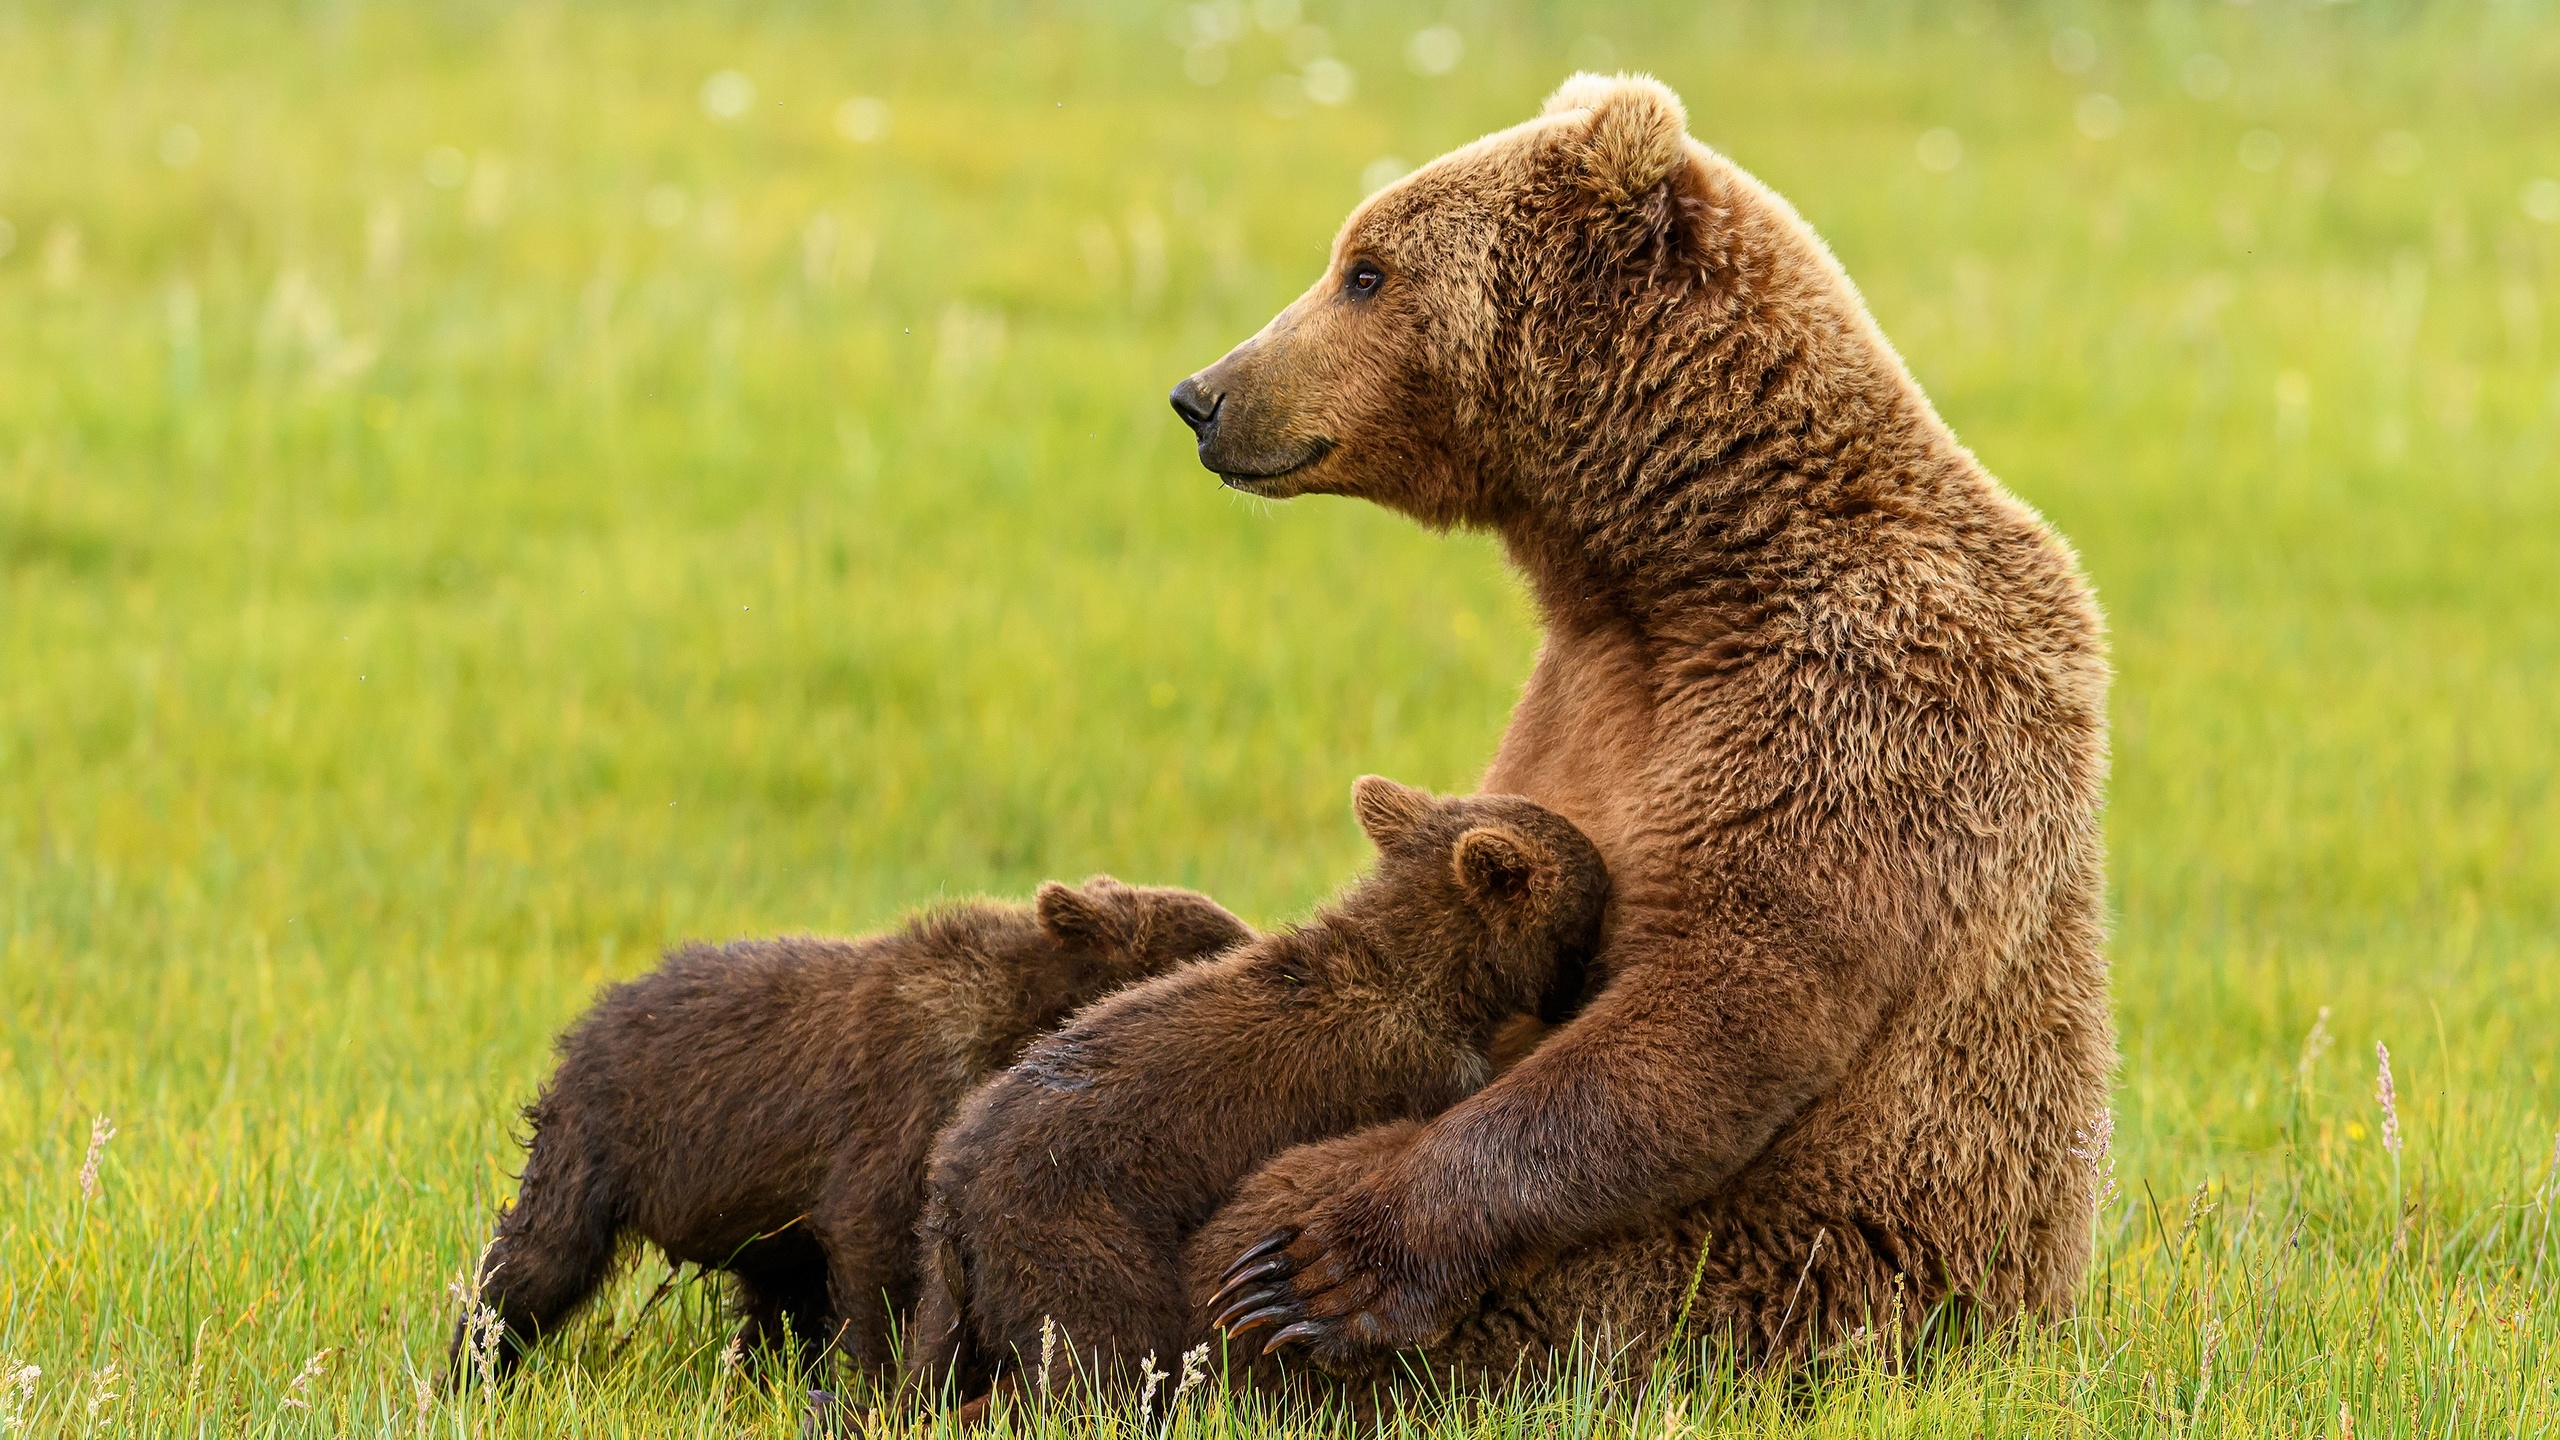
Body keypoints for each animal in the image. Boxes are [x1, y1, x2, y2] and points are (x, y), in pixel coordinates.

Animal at [465, 876, 1264, 1383]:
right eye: (1226, 942)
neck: (1015, 1022)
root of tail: (591, 1019)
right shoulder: (900, 1111)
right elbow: (878, 1250)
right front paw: (881, 1375)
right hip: (604, 1138)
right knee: (539, 1259)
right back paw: (476, 1364)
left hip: (761, 1220)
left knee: (774, 1300)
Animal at [911, 778, 1607, 1393]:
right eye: (1591, 917)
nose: (1582, 990)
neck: (1429, 977)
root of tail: (953, 1200)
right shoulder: (1416, 1069)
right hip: (1074, 1233)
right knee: (1103, 1355)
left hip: (949, 1286)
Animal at [1172, 75, 2109, 1363]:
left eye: (1364, 270)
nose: (1202, 396)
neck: (1677, 567)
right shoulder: (1577, 689)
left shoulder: (1853, 699)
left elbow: (1719, 993)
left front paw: (1322, 1265)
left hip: (1799, 1270)